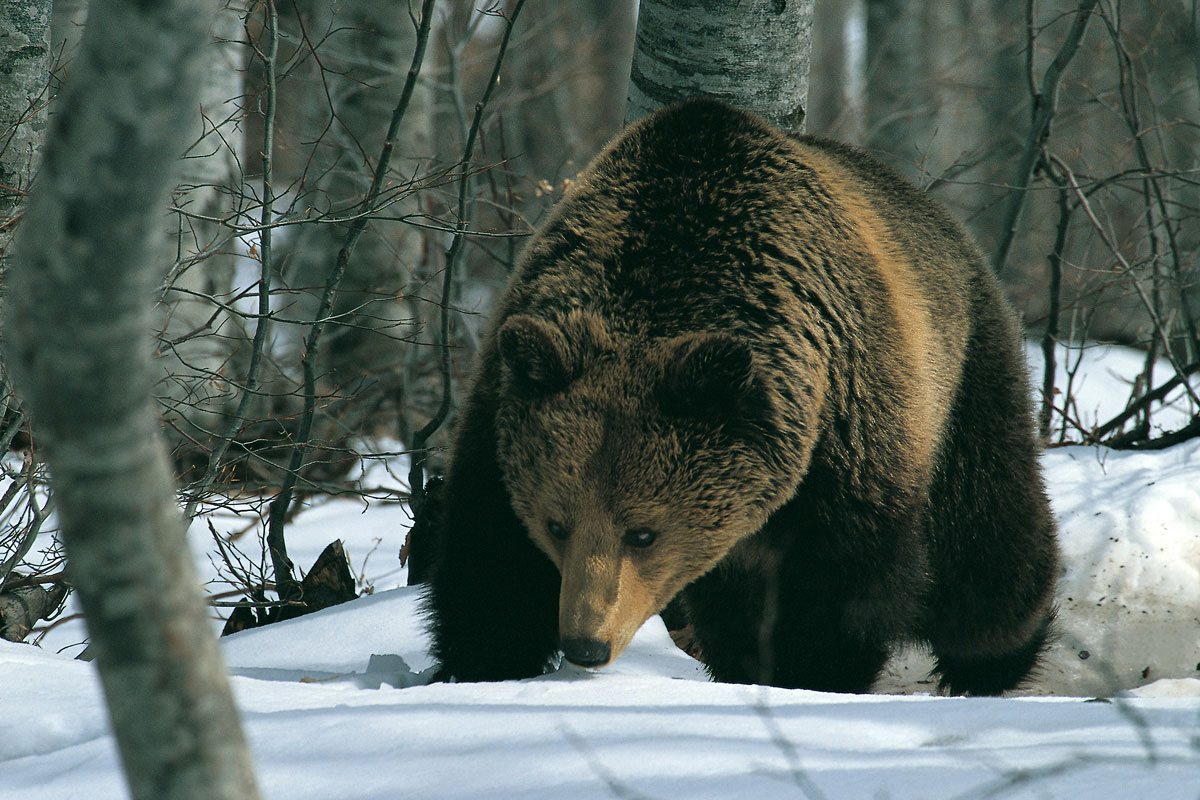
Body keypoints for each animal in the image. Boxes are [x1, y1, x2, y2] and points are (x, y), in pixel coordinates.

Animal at [422, 95, 1060, 695]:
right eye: (557, 523)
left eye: (643, 532)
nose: (586, 644)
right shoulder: (505, 410)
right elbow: (489, 558)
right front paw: (479, 664)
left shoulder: (845, 431)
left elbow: (840, 589)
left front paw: (811, 673)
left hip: (963, 374)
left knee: (985, 540)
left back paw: (998, 655)